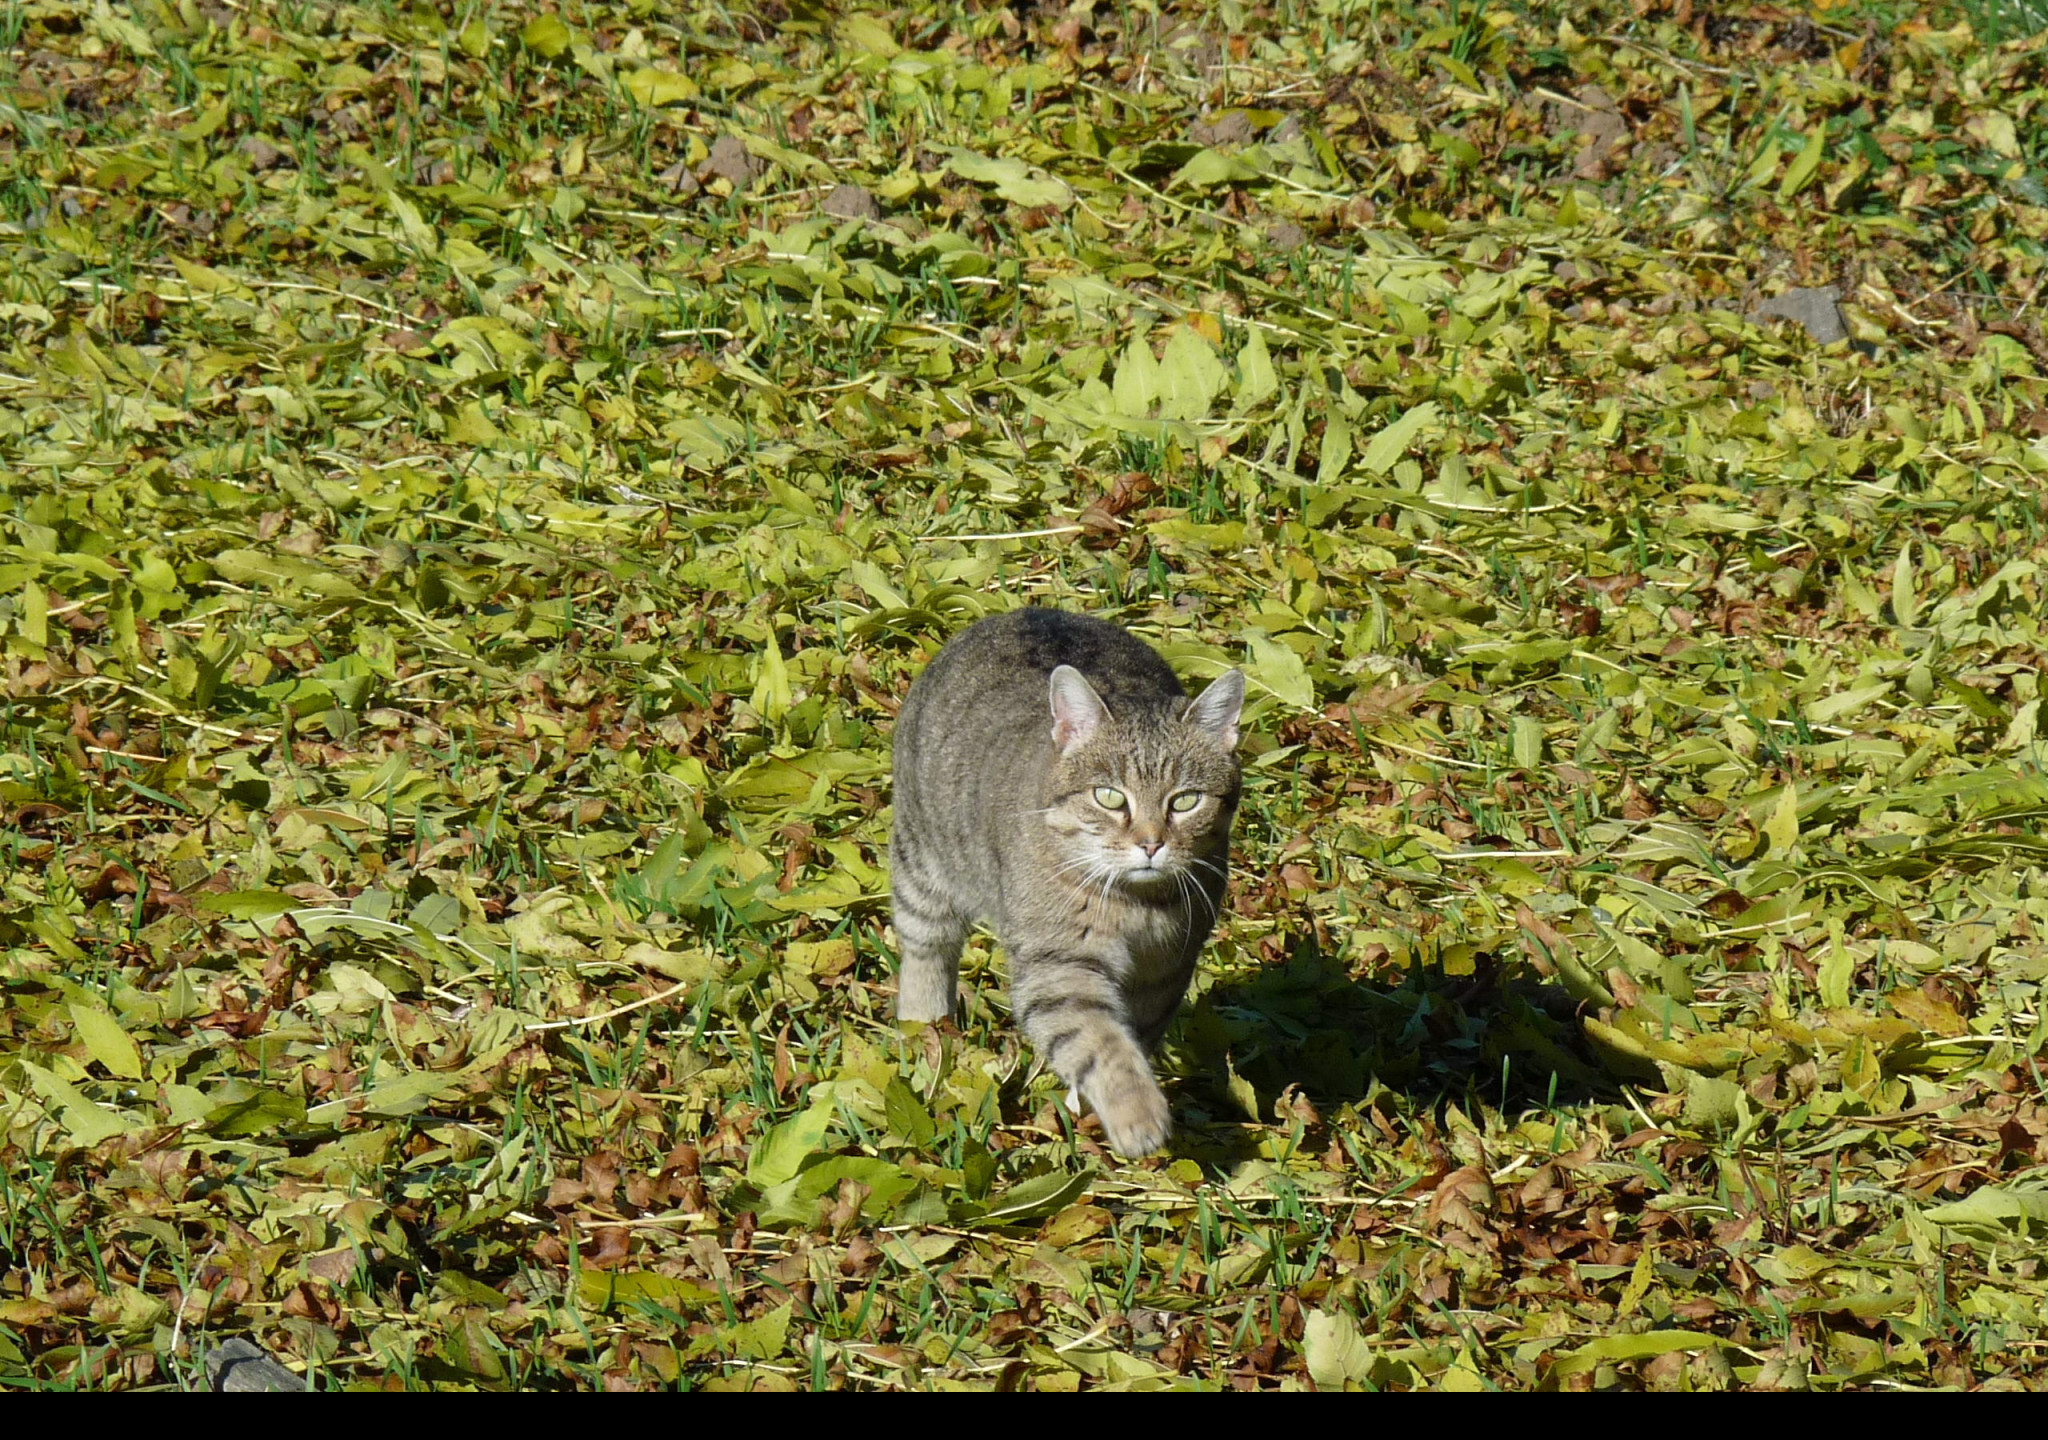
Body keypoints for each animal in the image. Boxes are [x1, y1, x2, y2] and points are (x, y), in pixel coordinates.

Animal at [884, 606, 1236, 1163]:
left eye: (1185, 801)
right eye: (1109, 797)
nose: (1151, 844)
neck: (1140, 906)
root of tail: (1027, 610)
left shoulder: (1166, 969)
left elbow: (1130, 1036)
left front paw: (1086, 1106)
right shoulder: (1059, 966)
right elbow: (1101, 1042)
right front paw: (1137, 1115)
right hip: (923, 862)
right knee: (925, 949)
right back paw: (925, 1030)